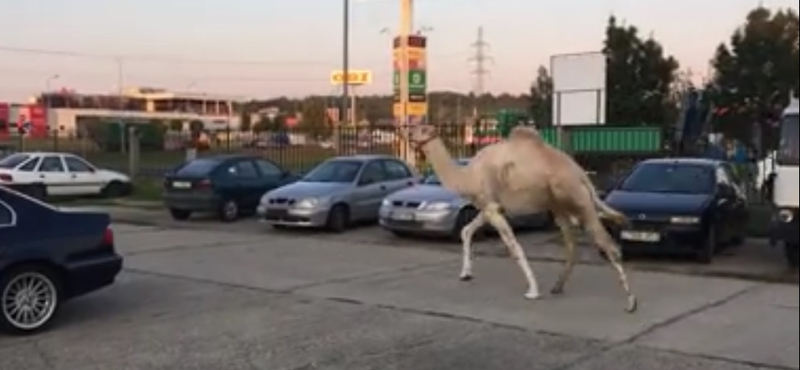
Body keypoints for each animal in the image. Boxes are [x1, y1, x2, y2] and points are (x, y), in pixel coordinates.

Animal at [406, 123, 636, 312]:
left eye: (422, 129)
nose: (408, 132)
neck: (467, 177)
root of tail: (581, 174)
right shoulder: (491, 207)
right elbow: (466, 230)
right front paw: (465, 274)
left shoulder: (491, 207)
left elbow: (514, 247)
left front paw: (532, 291)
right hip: (559, 206)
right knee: (572, 245)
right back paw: (557, 287)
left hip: (578, 200)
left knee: (608, 245)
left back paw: (631, 302)